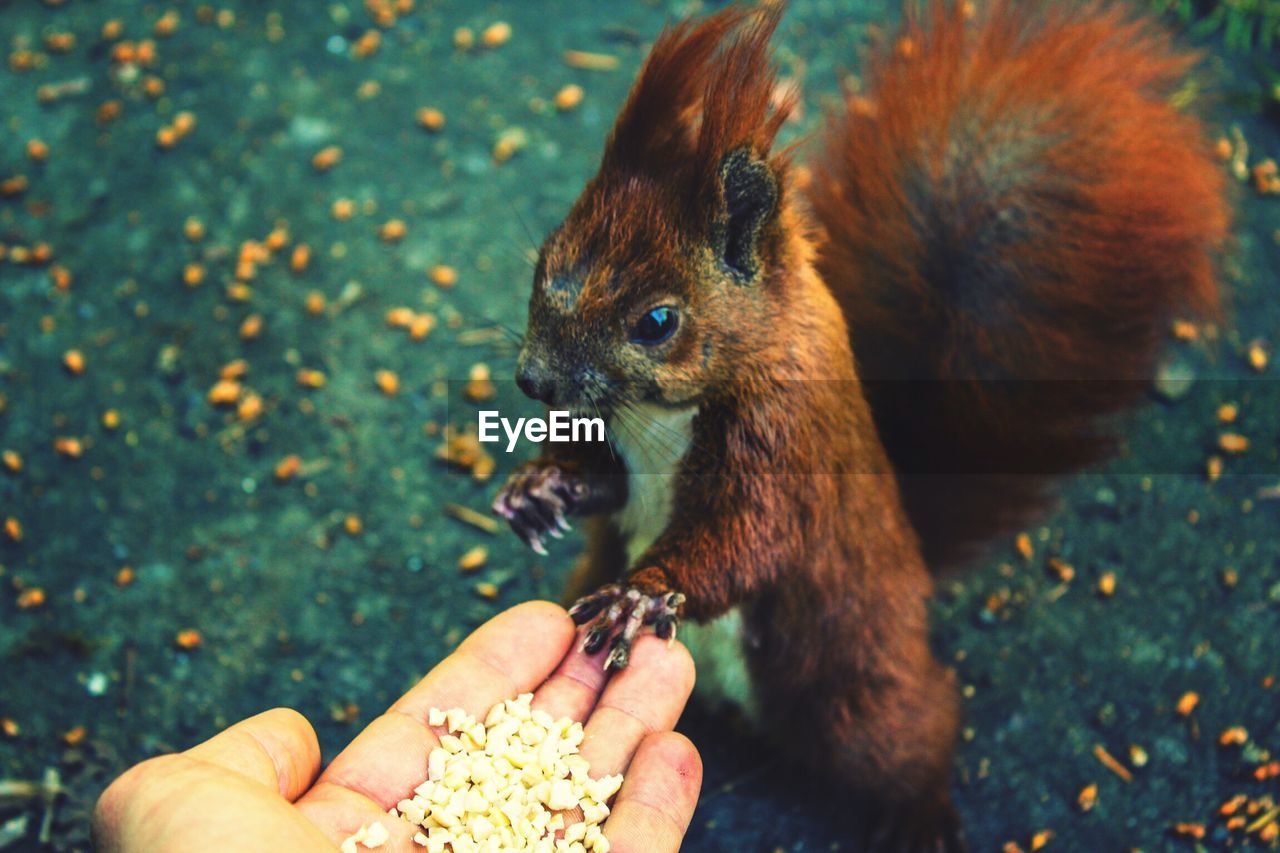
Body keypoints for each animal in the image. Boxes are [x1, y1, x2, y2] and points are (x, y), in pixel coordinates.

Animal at [491, 3, 1228, 845]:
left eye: (657, 321)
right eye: (546, 257)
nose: (534, 378)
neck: (658, 416)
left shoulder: (783, 440)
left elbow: (748, 535)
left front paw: (643, 595)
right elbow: (605, 483)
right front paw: (537, 487)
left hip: (858, 685)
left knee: (914, 738)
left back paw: (923, 820)